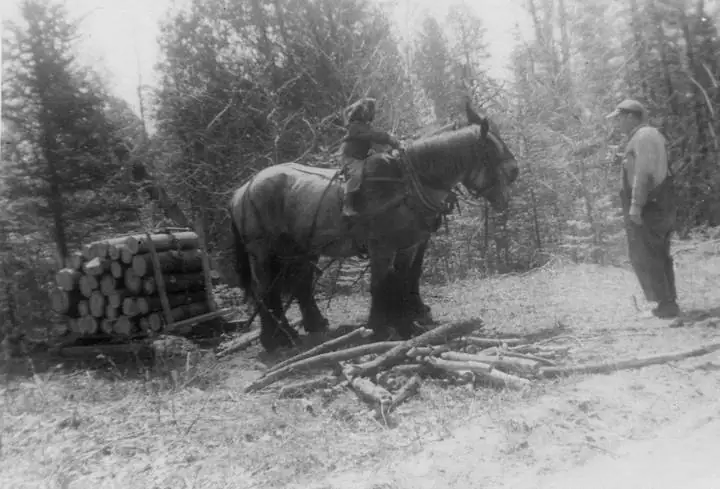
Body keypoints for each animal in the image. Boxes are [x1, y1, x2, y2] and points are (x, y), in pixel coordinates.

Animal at [229, 102, 519, 353]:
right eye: (492, 148)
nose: (515, 170)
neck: (407, 182)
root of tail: (242, 190)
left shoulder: (410, 244)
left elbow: (406, 277)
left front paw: (410, 319)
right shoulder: (383, 246)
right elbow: (382, 283)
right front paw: (380, 327)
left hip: (299, 250)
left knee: (297, 284)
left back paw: (308, 325)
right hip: (263, 252)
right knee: (265, 290)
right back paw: (275, 339)